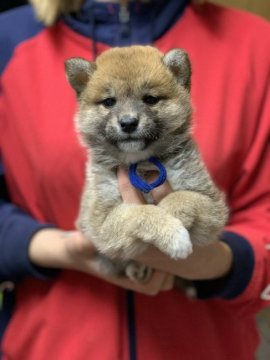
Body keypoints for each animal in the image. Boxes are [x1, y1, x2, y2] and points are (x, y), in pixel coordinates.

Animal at [65, 45, 228, 282]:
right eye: (109, 102)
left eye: (150, 99)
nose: (128, 122)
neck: (141, 163)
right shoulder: (100, 222)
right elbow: (141, 214)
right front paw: (172, 232)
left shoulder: (212, 206)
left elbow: (181, 197)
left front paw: (171, 218)